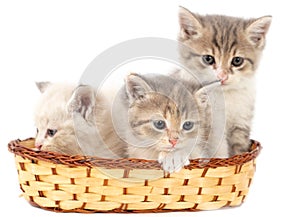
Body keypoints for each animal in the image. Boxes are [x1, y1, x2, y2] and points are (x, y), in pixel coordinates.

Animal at [173, 6, 272, 156]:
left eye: (237, 61)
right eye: (208, 59)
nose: (222, 76)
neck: (224, 96)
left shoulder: (241, 122)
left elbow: (239, 149)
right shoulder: (211, 127)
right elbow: (218, 152)